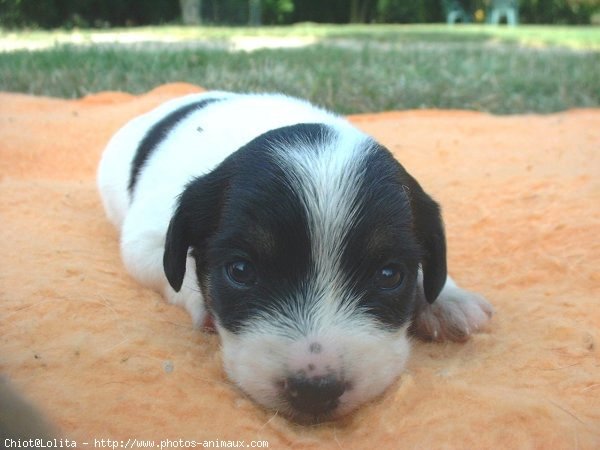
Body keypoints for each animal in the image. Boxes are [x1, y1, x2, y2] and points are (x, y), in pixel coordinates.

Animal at [97, 91, 492, 422]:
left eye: (389, 275)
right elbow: (178, 274)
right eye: (240, 270)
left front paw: (447, 299)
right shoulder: (144, 239)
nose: (315, 392)